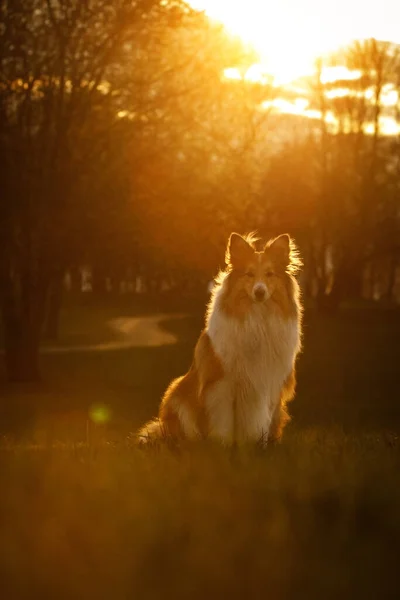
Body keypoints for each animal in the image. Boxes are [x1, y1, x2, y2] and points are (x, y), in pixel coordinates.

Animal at [138, 232, 304, 448]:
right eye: (249, 274)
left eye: (269, 274)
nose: (259, 292)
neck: (257, 318)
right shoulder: (222, 383)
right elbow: (223, 421)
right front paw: (222, 446)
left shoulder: (270, 383)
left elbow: (262, 422)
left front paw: (258, 445)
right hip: (177, 393)